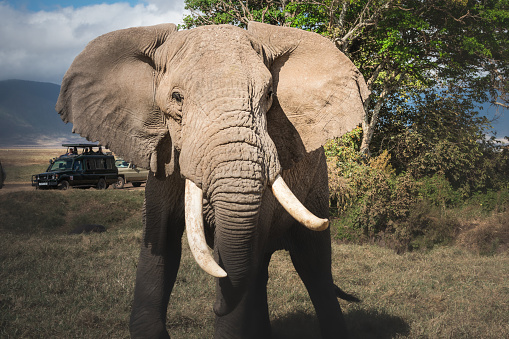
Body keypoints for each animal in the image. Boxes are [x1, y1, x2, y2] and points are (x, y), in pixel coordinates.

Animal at [56, 21, 370, 339]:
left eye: (269, 94)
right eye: (177, 98)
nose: (216, 306)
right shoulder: (163, 163)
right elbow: (160, 245)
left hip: (317, 181)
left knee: (312, 265)